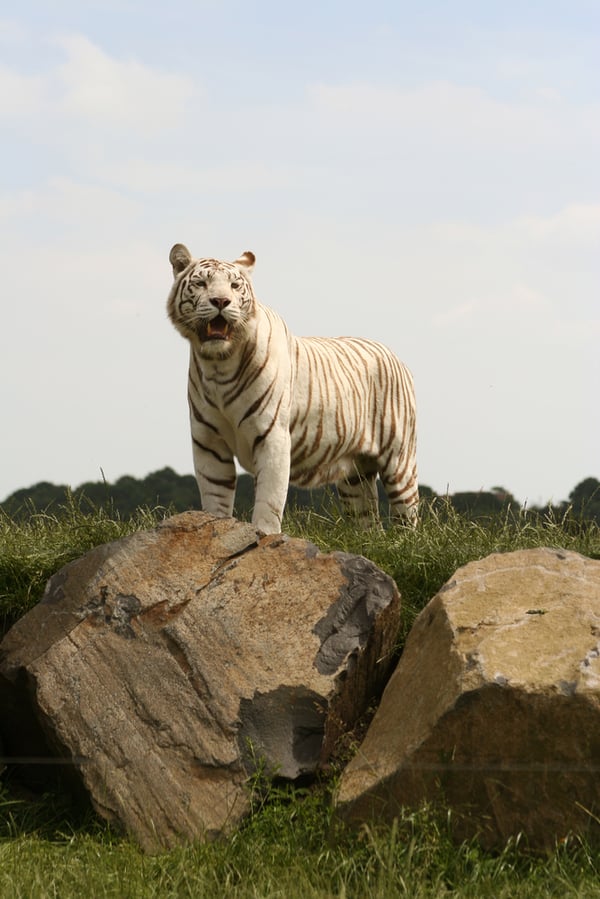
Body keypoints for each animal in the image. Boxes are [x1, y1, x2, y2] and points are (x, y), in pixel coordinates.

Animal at [165, 244, 418, 536]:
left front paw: (263, 536)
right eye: (201, 283)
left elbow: (268, 500)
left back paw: (403, 542)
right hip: (355, 475)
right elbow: (215, 498)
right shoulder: (209, 441)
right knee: (368, 522)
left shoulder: (271, 435)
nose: (220, 301)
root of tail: (393, 354)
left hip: (399, 461)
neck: (219, 364)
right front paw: (213, 529)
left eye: (234, 285)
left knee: (407, 517)